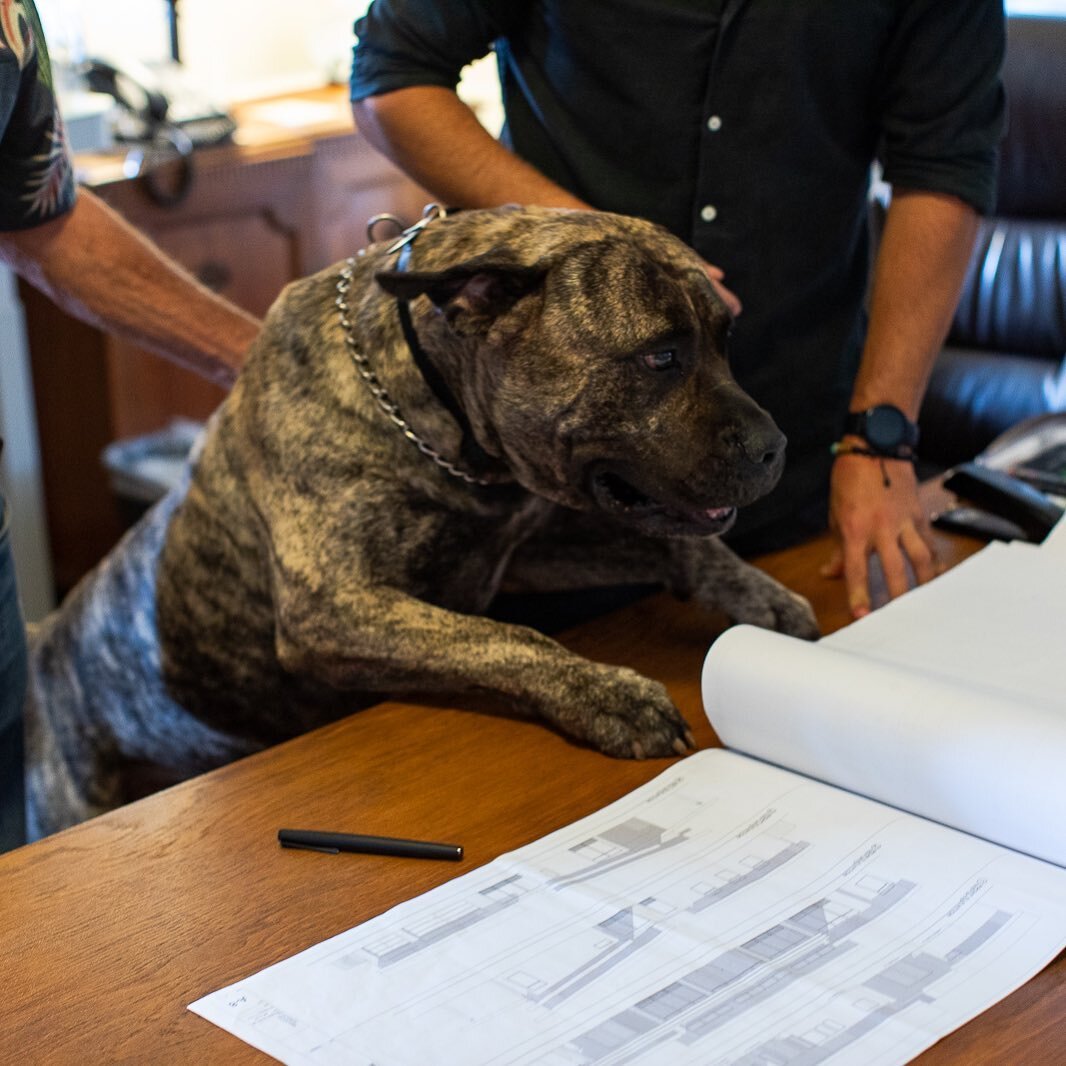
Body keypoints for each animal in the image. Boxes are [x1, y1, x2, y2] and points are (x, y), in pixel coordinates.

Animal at [22, 207, 814, 835]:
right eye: (660, 356)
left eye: (725, 339)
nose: (776, 446)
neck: (435, 415)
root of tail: (46, 642)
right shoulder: (333, 604)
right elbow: (508, 639)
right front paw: (609, 694)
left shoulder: (516, 550)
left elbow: (679, 551)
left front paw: (759, 597)